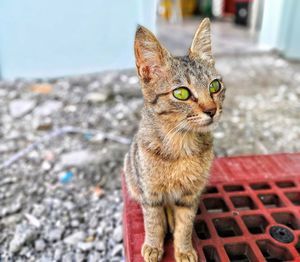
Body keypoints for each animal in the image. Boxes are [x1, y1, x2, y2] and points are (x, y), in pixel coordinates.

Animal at [123, 18, 225, 262]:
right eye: (181, 93)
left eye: (214, 86)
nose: (212, 110)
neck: (180, 146)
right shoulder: (150, 194)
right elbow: (152, 222)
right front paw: (153, 246)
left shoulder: (190, 196)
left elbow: (185, 226)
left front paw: (184, 249)